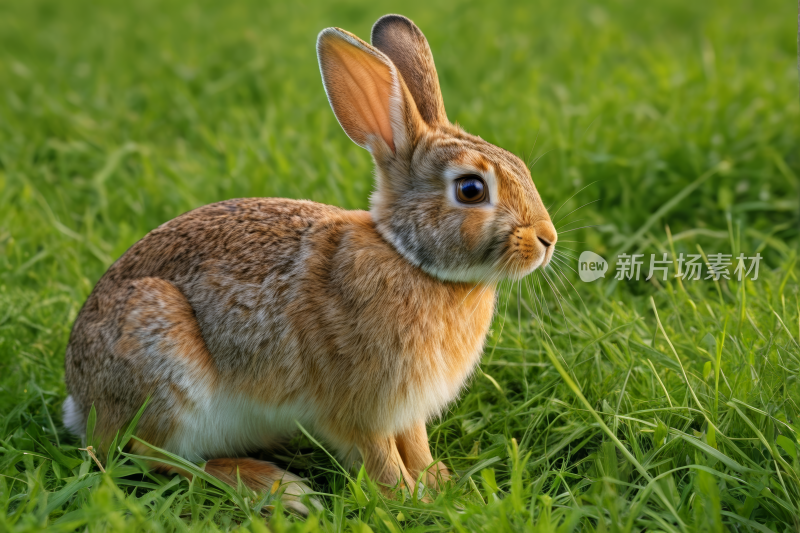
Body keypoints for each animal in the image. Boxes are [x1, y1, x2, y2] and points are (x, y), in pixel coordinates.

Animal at [64, 13, 556, 516]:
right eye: (471, 189)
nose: (547, 240)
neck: (409, 258)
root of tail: (81, 404)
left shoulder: (406, 410)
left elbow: (415, 444)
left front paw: (438, 483)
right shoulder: (360, 407)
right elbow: (379, 456)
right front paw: (405, 497)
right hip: (161, 360)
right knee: (150, 457)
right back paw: (275, 486)